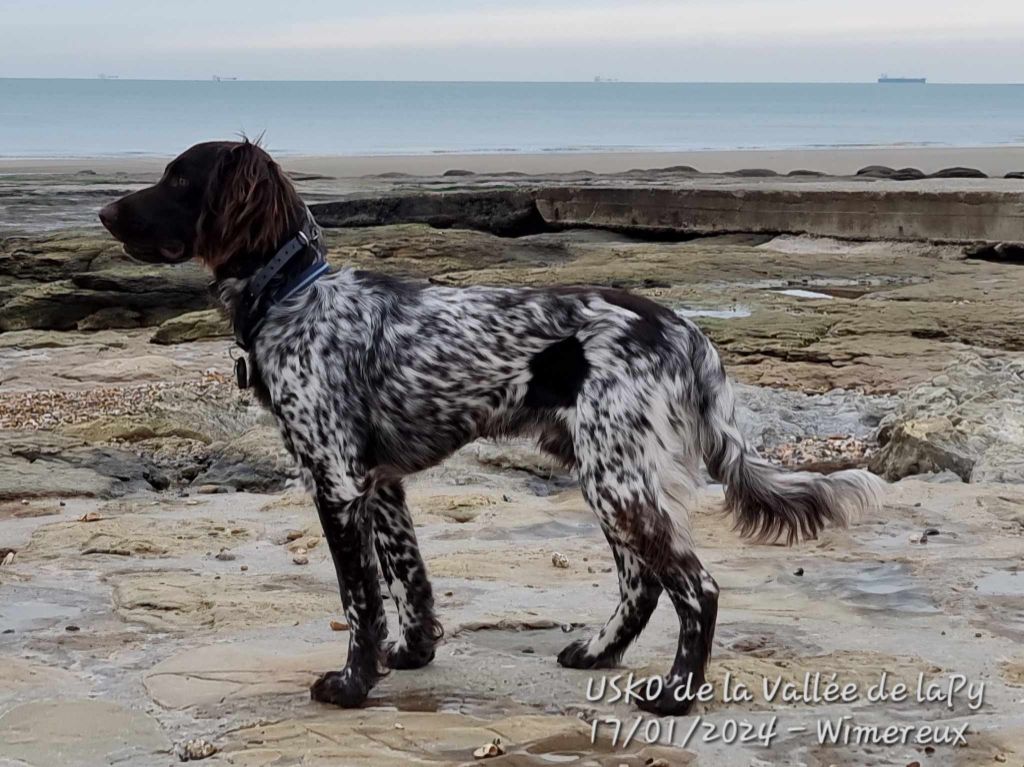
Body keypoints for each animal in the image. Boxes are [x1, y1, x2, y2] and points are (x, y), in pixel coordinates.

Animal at [97, 140, 880, 716]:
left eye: (178, 177)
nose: (104, 210)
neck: (293, 296)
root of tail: (683, 328)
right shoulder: (380, 484)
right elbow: (409, 581)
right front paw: (412, 656)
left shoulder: (336, 482)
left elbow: (359, 598)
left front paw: (351, 685)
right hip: (607, 471)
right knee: (643, 581)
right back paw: (596, 653)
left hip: (617, 478)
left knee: (695, 585)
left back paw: (675, 696)